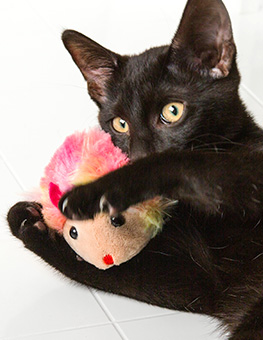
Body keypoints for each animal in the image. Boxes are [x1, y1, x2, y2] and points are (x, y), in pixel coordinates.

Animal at [6, 0, 263, 338]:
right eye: (120, 124)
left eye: (173, 111)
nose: (138, 154)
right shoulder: (202, 282)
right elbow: (110, 271)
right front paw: (27, 222)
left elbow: (189, 162)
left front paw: (94, 193)